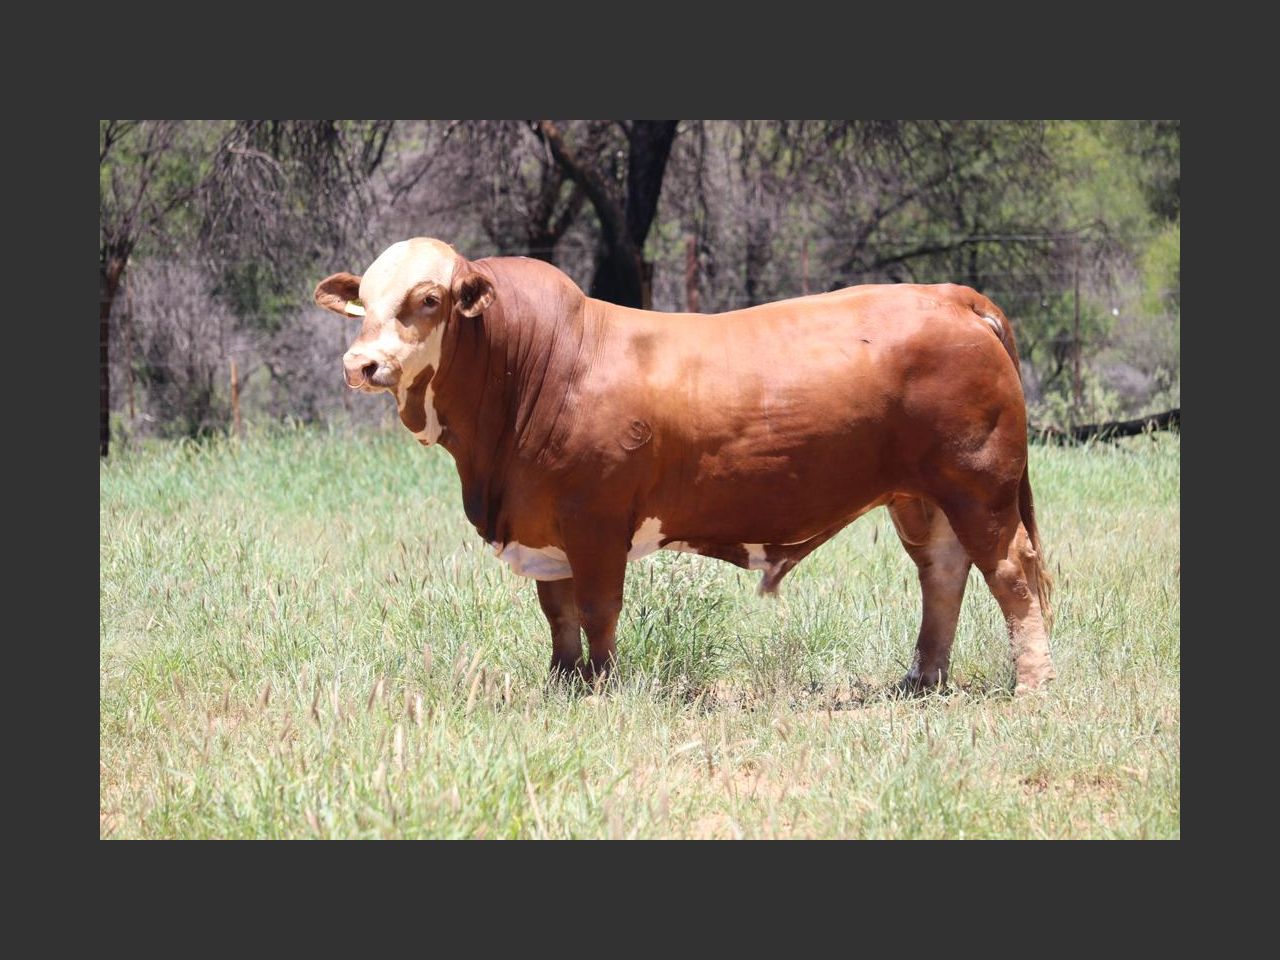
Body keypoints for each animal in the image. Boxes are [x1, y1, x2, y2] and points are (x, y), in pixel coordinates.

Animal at [314, 237, 1055, 693]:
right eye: (362, 304)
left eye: (428, 299)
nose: (361, 364)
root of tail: (951, 295)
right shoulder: (544, 527)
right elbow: (557, 613)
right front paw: (563, 682)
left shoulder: (595, 522)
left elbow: (597, 609)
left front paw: (602, 685)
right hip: (921, 497)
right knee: (943, 574)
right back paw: (923, 678)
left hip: (980, 486)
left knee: (1010, 574)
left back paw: (1031, 683)